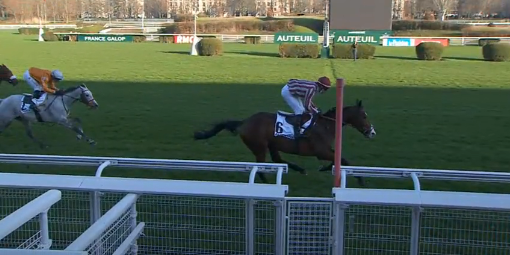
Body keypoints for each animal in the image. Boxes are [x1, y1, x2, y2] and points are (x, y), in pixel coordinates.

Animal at [193, 98, 376, 184]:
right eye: (364, 116)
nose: (372, 132)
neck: (326, 125)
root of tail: (244, 122)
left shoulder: (325, 151)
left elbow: (339, 159)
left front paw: (325, 168)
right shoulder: (321, 151)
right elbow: (344, 160)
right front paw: (360, 179)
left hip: (272, 145)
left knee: (277, 159)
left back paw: (300, 169)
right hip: (259, 147)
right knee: (261, 168)